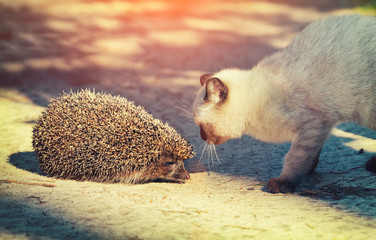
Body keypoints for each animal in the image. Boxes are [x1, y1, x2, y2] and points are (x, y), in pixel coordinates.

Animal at [192, 15, 376, 193]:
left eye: (201, 126)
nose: (201, 137)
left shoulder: (312, 126)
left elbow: (294, 157)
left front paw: (284, 183)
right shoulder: (318, 130)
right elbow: (312, 154)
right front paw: (309, 169)